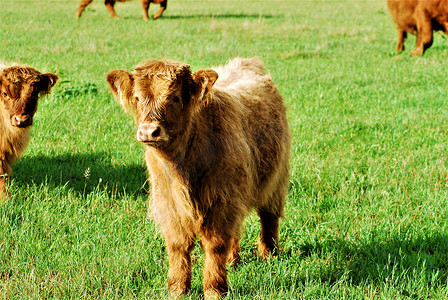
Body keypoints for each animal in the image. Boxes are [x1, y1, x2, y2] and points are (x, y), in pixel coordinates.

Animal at [107, 57, 292, 298]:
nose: (148, 131)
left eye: (174, 97)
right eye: (137, 98)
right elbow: (178, 245)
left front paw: (214, 289)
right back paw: (232, 261)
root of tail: (246, 63)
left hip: (276, 180)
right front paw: (177, 288)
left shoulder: (221, 200)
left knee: (269, 218)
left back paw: (269, 255)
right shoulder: (169, 203)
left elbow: (215, 244)